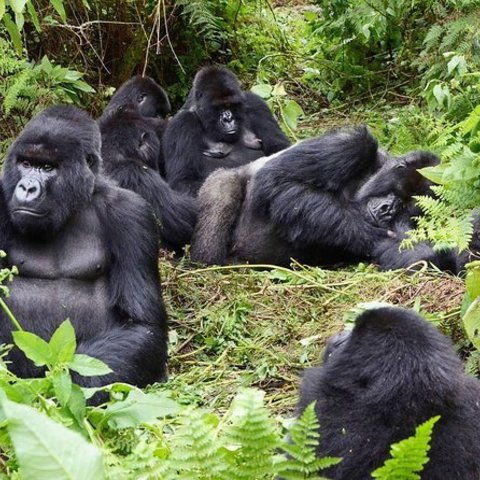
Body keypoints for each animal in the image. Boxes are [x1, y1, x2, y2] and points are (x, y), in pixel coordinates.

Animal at [0, 105, 169, 390]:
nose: (27, 187)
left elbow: (142, 324)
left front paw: (63, 384)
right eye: (26, 164)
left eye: (48, 167)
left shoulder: (132, 214)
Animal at [163, 65, 290, 195]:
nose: (228, 118)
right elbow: (184, 180)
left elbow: (280, 148)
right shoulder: (181, 123)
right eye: (218, 107)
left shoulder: (256, 104)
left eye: (231, 105)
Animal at [191, 125, 458, 272]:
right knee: (223, 190)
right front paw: (368, 232)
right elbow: (277, 181)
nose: (388, 209)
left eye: (406, 207)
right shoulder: (352, 145)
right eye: (399, 191)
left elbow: (412, 256)